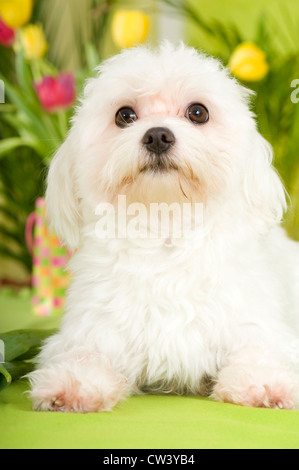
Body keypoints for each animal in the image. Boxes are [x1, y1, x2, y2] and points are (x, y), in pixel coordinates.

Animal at [28, 43, 299, 412]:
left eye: (198, 112)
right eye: (125, 116)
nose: (157, 135)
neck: (165, 227)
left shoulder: (257, 324)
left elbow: (262, 349)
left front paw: (265, 383)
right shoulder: (94, 328)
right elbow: (85, 354)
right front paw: (73, 385)